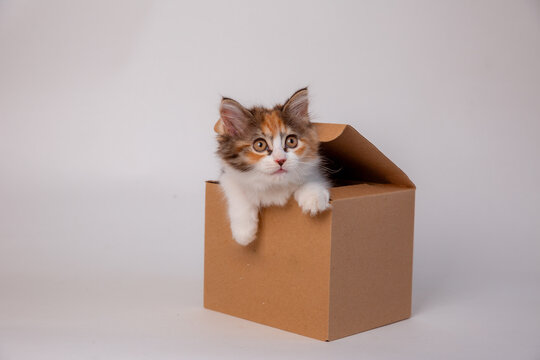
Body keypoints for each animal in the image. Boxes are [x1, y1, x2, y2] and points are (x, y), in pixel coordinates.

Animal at [215, 88, 330, 245]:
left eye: (291, 141)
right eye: (260, 145)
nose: (280, 160)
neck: (274, 186)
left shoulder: (314, 170)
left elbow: (311, 178)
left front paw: (314, 199)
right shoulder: (227, 175)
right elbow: (238, 192)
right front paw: (243, 233)